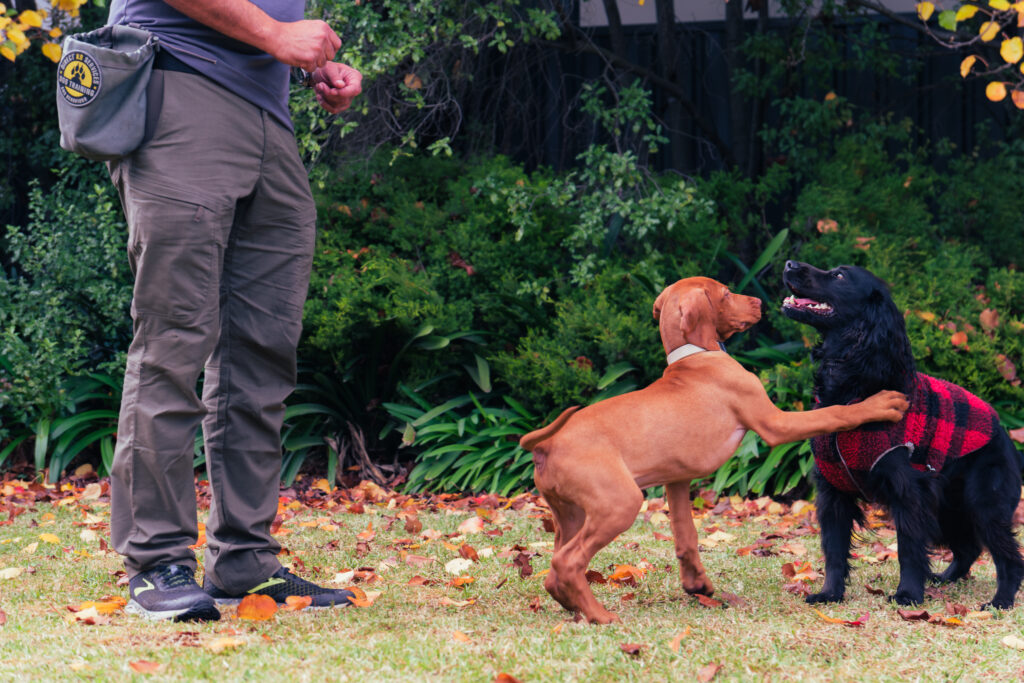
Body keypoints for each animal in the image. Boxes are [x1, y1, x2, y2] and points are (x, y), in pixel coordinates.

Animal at [520, 276, 905, 626]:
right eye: (726, 293)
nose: (759, 303)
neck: (696, 356)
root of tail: (547, 444)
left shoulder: (676, 480)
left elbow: (686, 536)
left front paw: (698, 585)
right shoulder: (775, 423)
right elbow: (833, 413)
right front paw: (881, 404)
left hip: (570, 514)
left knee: (555, 569)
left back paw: (573, 605)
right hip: (617, 504)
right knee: (567, 562)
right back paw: (600, 615)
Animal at [778, 262, 1019, 610]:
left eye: (840, 276)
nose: (789, 265)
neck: (853, 389)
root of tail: (1004, 433)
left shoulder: (909, 493)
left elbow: (909, 549)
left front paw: (908, 594)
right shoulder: (832, 492)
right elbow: (834, 551)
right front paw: (830, 594)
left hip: (984, 505)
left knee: (1008, 556)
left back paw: (1000, 601)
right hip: (949, 509)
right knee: (968, 548)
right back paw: (945, 578)